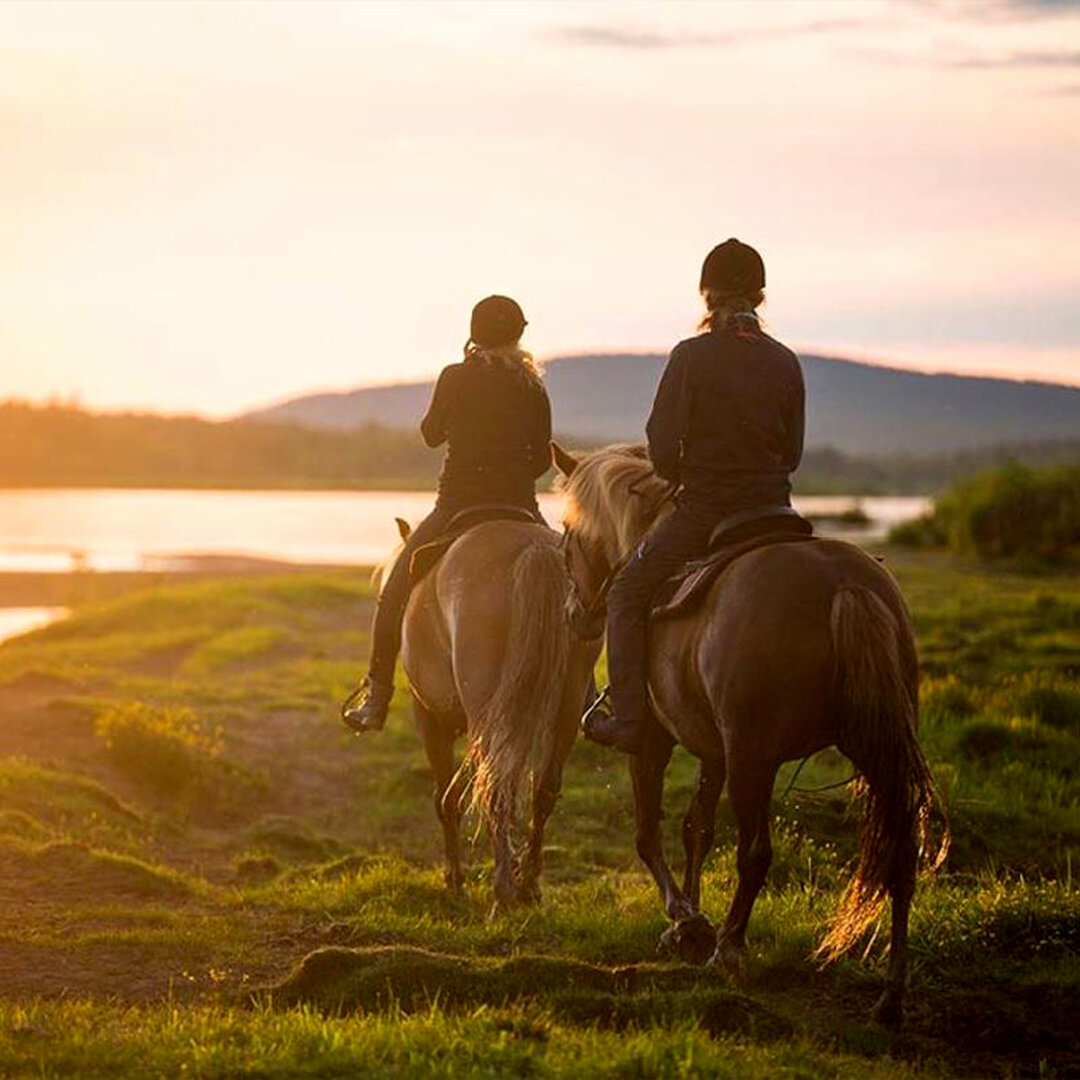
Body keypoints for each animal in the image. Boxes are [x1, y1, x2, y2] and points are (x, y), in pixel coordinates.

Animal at [399, 514, 600, 911]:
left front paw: (455, 879)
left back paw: (503, 891)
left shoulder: (429, 719)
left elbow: (445, 798)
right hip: (567, 704)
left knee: (496, 788)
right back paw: (528, 886)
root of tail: (534, 550)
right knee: (543, 789)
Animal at [552, 440, 950, 1028]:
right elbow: (696, 829)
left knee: (756, 852)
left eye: (568, 532)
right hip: (875, 749)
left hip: (753, 759)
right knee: (900, 853)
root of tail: (844, 585)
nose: (574, 614)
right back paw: (890, 996)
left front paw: (687, 921)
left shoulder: (655, 739)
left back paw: (731, 949)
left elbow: (648, 834)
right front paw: (688, 923)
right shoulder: (712, 749)